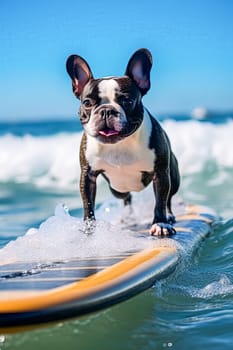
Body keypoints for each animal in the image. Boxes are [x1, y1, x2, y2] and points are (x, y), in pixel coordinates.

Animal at [66, 48, 180, 235]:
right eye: (87, 102)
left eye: (127, 101)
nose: (106, 110)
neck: (119, 144)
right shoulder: (88, 176)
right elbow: (88, 204)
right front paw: (89, 228)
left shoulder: (161, 173)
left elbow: (160, 200)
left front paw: (161, 223)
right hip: (117, 189)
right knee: (126, 198)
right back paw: (127, 218)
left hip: (173, 176)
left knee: (169, 197)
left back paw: (169, 216)